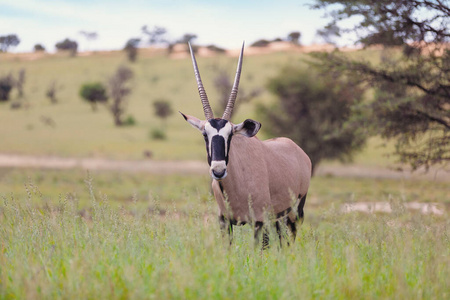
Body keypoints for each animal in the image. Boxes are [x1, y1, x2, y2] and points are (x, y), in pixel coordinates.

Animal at [181, 42, 312, 248]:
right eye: (204, 134)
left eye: (230, 135)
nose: (218, 171)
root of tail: (299, 151)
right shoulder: (224, 222)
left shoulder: (259, 221)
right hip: (278, 217)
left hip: (294, 213)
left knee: (289, 239)